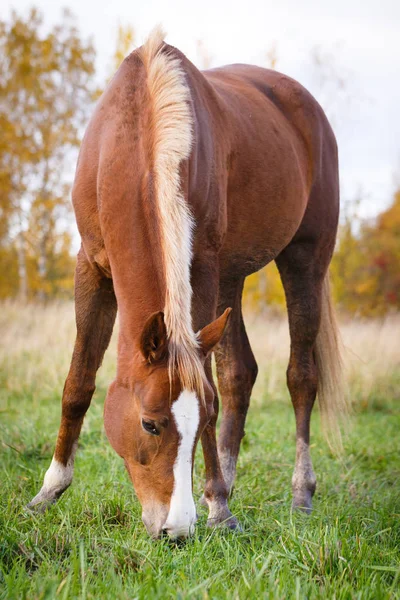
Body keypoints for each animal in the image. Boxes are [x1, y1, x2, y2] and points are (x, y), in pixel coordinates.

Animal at [28, 28, 346, 540]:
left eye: (198, 426)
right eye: (149, 424)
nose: (176, 530)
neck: (143, 128)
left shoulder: (203, 268)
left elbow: (211, 387)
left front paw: (218, 507)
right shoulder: (92, 267)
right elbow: (78, 383)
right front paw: (47, 492)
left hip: (304, 261)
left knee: (301, 377)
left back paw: (298, 494)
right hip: (233, 280)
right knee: (239, 374)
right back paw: (230, 486)